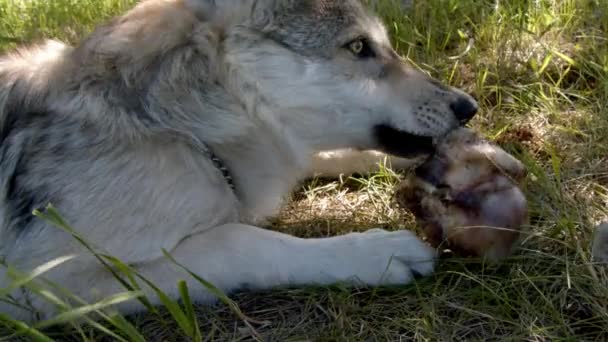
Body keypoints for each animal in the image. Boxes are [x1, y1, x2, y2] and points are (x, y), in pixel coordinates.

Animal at [0, 0, 476, 322]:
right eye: (359, 46)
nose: (468, 107)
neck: (175, 130)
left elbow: (325, 154)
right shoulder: (43, 282)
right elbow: (243, 241)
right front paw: (379, 252)